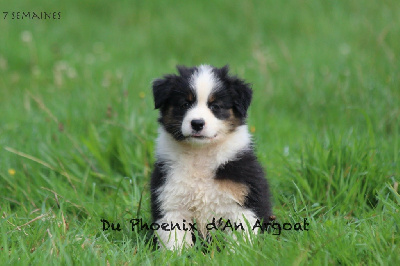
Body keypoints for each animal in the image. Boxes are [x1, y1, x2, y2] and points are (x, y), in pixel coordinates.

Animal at [151, 64, 276, 249]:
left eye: (215, 106)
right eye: (185, 104)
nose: (197, 123)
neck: (200, 154)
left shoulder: (241, 202)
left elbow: (240, 239)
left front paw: (237, 253)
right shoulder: (171, 201)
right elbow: (175, 241)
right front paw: (177, 254)